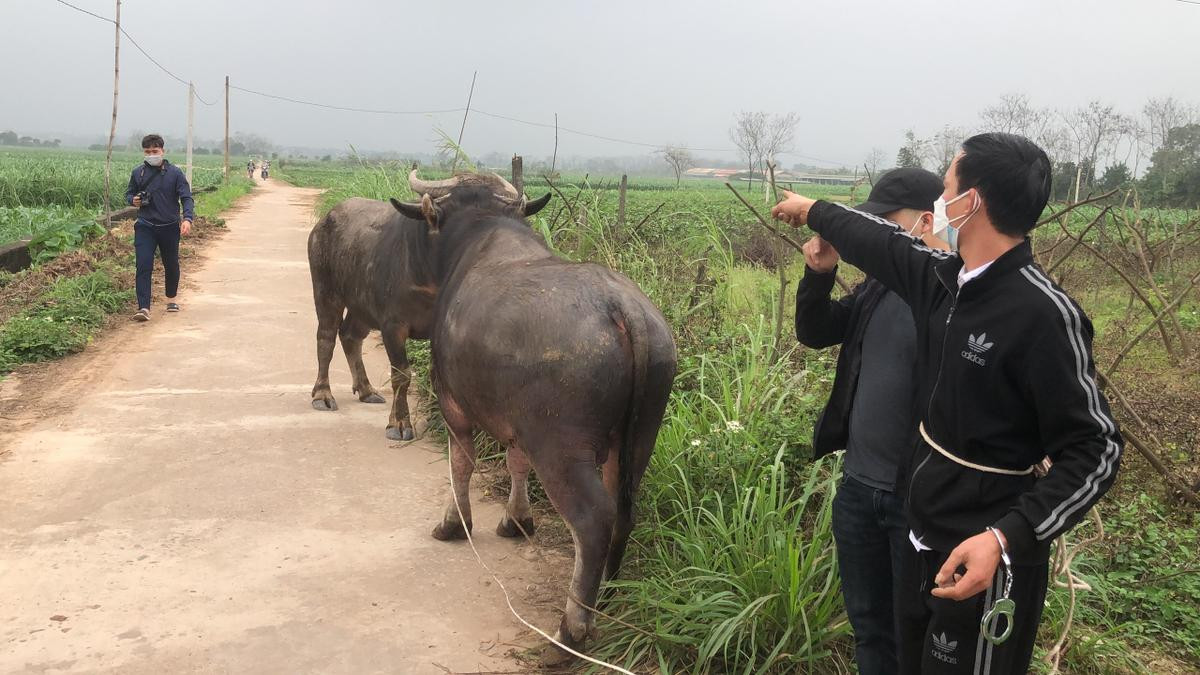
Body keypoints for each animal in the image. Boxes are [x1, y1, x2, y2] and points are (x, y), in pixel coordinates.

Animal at [307, 170, 542, 439]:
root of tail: (325, 221)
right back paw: (322, 394)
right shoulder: (392, 326)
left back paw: (366, 390)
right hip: (325, 290)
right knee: (326, 336)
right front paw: (399, 423)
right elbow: (401, 374)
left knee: (350, 336)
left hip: (361, 306)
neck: (429, 276)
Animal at [391, 171, 676, 658]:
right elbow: (515, 462)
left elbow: (461, 464)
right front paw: (517, 520)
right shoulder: (518, 427)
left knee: (593, 520)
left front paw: (454, 523)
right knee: (624, 510)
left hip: (561, 451)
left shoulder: (453, 404)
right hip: (639, 439)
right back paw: (608, 593)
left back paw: (570, 631)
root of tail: (623, 309)